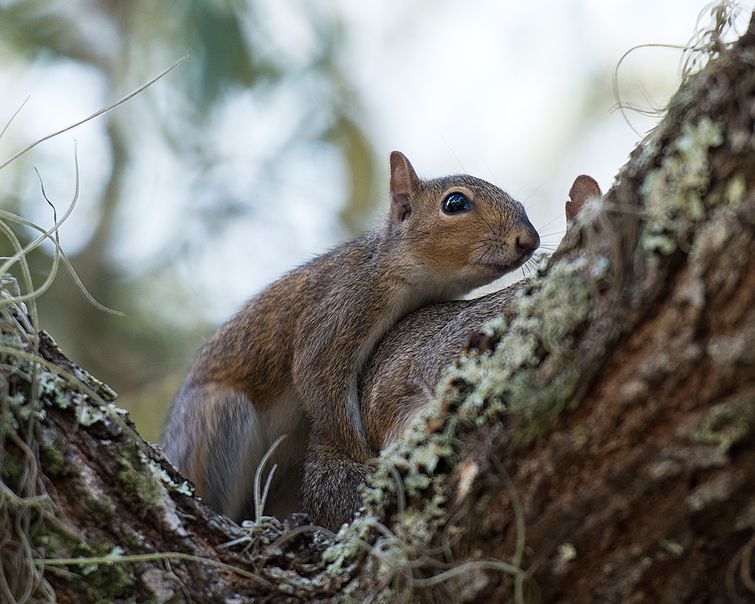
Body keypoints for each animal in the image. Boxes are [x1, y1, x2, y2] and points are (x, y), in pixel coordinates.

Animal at [162, 152, 540, 528]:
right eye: (455, 203)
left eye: (522, 206)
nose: (529, 240)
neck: (402, 271)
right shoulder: (342, 306)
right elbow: (318, 380)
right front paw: (367, 461)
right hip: (216, 422)